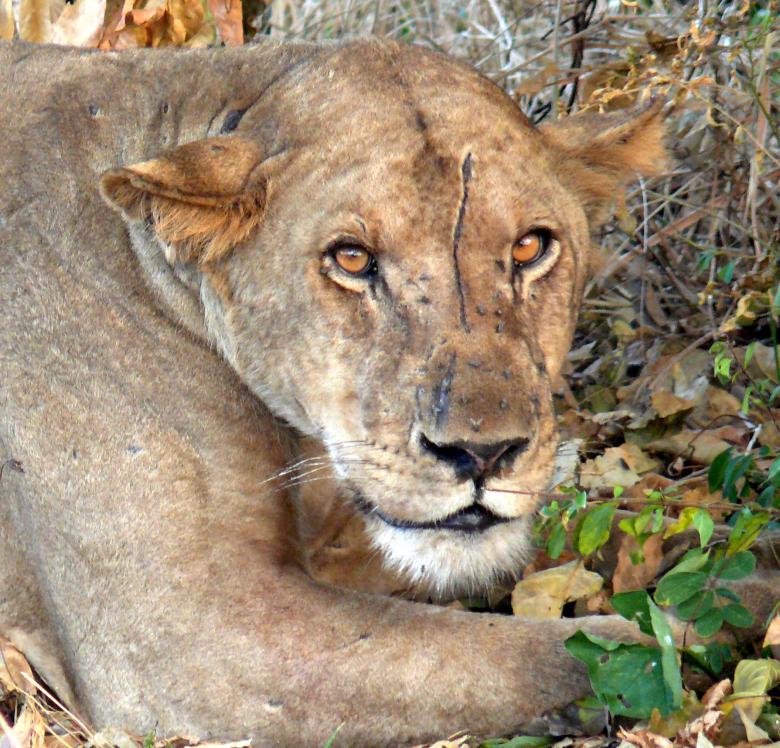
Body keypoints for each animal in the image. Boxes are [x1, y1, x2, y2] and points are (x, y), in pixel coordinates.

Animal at [2, 37, 771, 747]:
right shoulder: (189, 643)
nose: (483, 454)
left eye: (530, 247)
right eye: (352, 259)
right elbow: (538, 659)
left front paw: (749, 578)